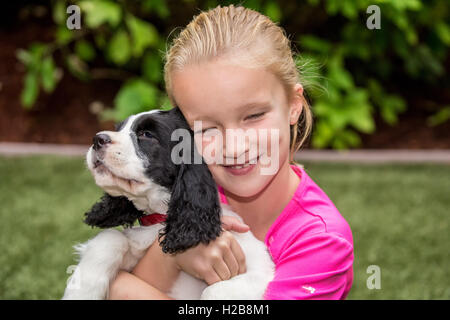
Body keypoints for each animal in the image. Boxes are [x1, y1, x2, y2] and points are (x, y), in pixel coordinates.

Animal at [62, 107, 274, 300]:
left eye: (146, 135)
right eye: (120, 128)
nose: (97, 139)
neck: (162, 219)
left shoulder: (260, 272)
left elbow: (213, 291)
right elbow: (111, 237)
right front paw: (80, 292)